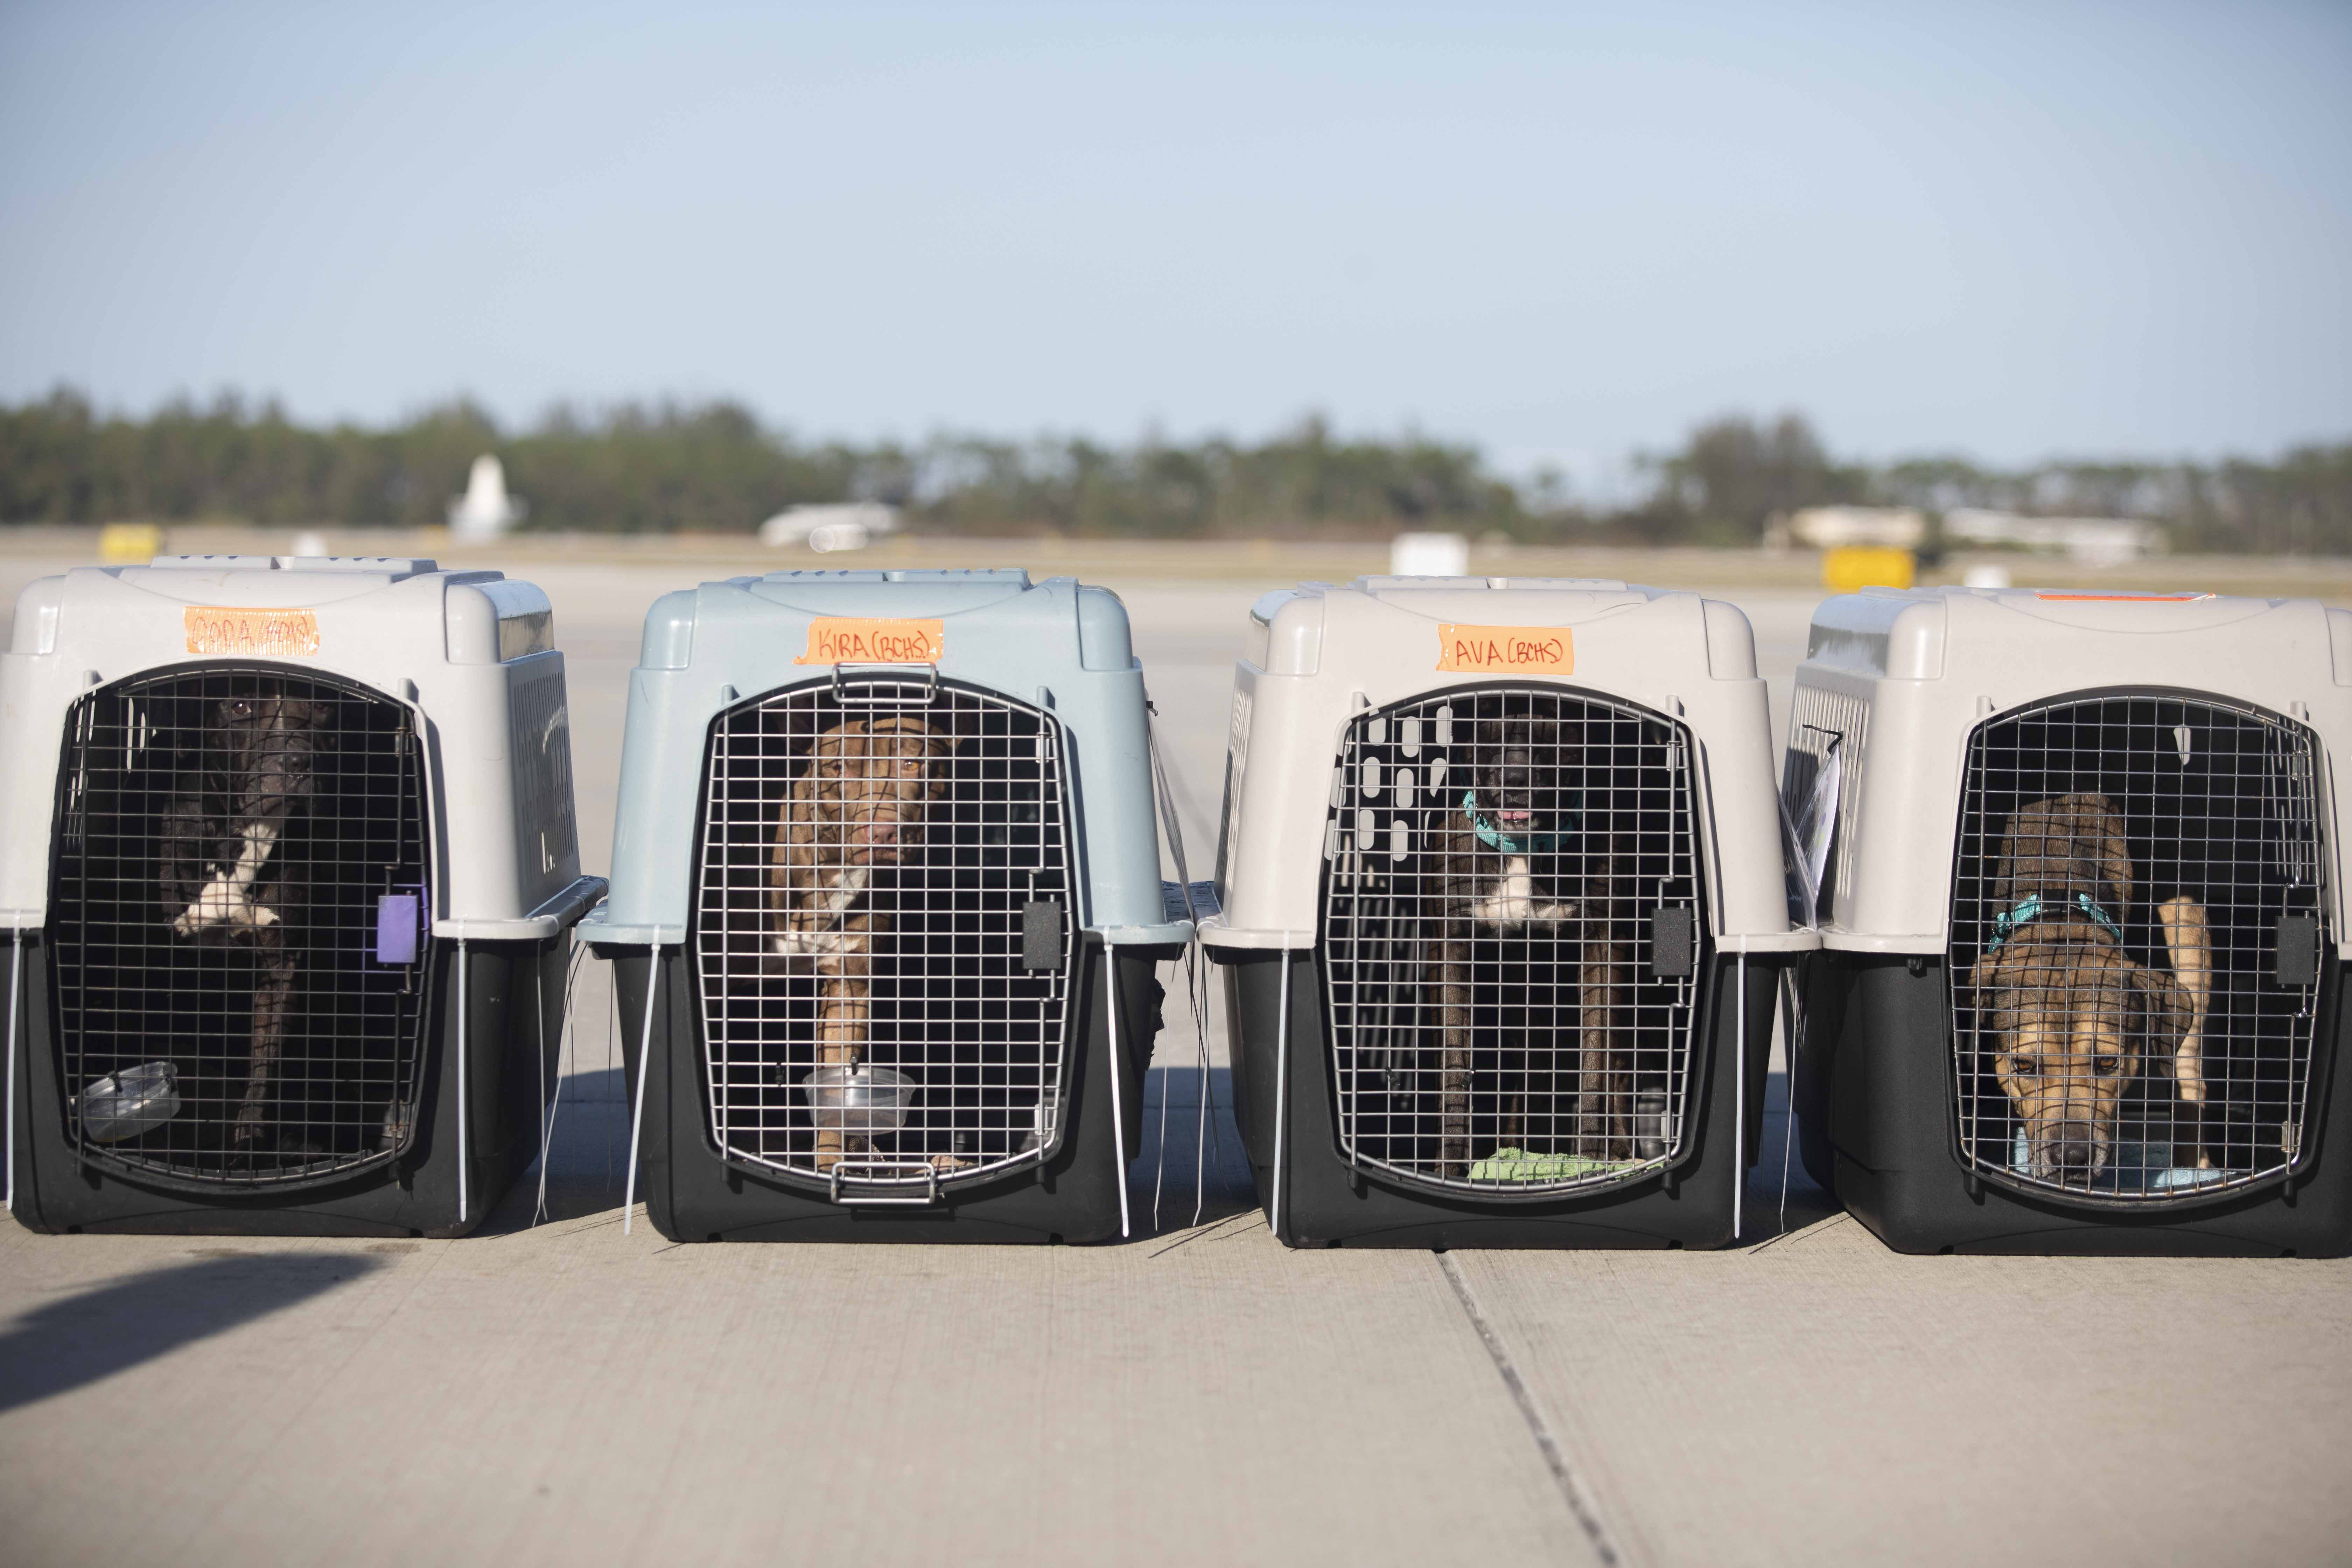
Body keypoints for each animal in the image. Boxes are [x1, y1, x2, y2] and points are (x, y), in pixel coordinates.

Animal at [161, 686, 334, 1152]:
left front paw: (249, 1137)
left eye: (321, 707)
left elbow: (265, 1056)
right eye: (240, 706)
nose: (299, 761)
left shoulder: (280, 963)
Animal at [1411, 710, 1637, 1175]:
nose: (1515, 777)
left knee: (1619, 1070)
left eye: (1553, 738)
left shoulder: (1604, 950)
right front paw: (1450, 1163)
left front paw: (1591, 1154)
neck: (1521, 850)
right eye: (1489, 736)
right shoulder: (1451, 953)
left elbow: (1597, 1061)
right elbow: (1455, 1065)